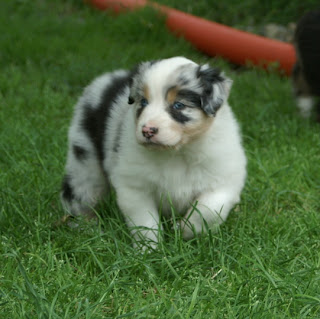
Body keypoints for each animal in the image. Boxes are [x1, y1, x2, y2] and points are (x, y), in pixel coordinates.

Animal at [60, 57, 248, 250]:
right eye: (143, 102)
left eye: (178, 105)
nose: (147, 130)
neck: (176, 153)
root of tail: (109, 78)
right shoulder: (135, 187)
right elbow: (145, 222)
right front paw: (149, 250)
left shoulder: (223, 181)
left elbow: (208, 210)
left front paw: (184, 231)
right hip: (85, 161)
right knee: (78, 194)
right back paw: (85, 227)